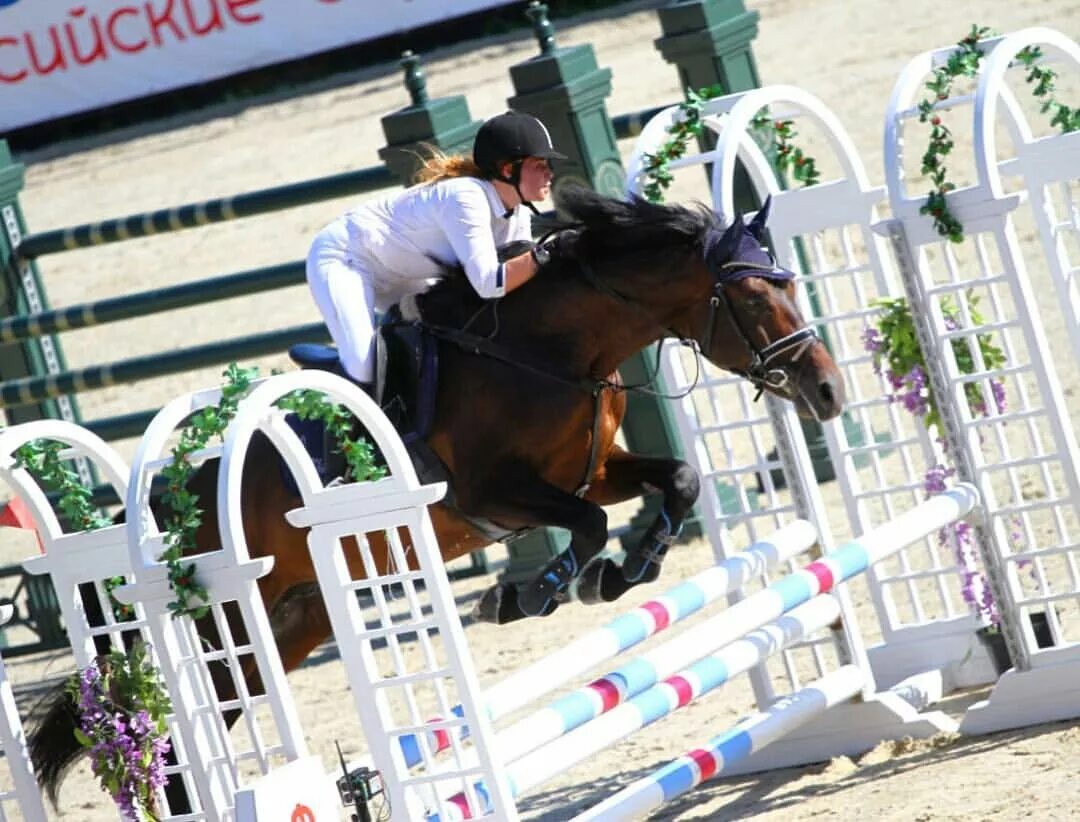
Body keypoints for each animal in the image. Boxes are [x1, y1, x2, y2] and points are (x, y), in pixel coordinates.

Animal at [25, 184, 842, 803]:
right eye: (753, 297)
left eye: (786, 285)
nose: (828, 392)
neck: (550, 351)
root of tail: (160, 516)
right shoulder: (495, 490)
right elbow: (580, 527)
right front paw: (527, 594)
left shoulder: (594, 469)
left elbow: (677, 480)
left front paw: (626, 572)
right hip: (215, 623)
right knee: (173, 745)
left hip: (288, 625)